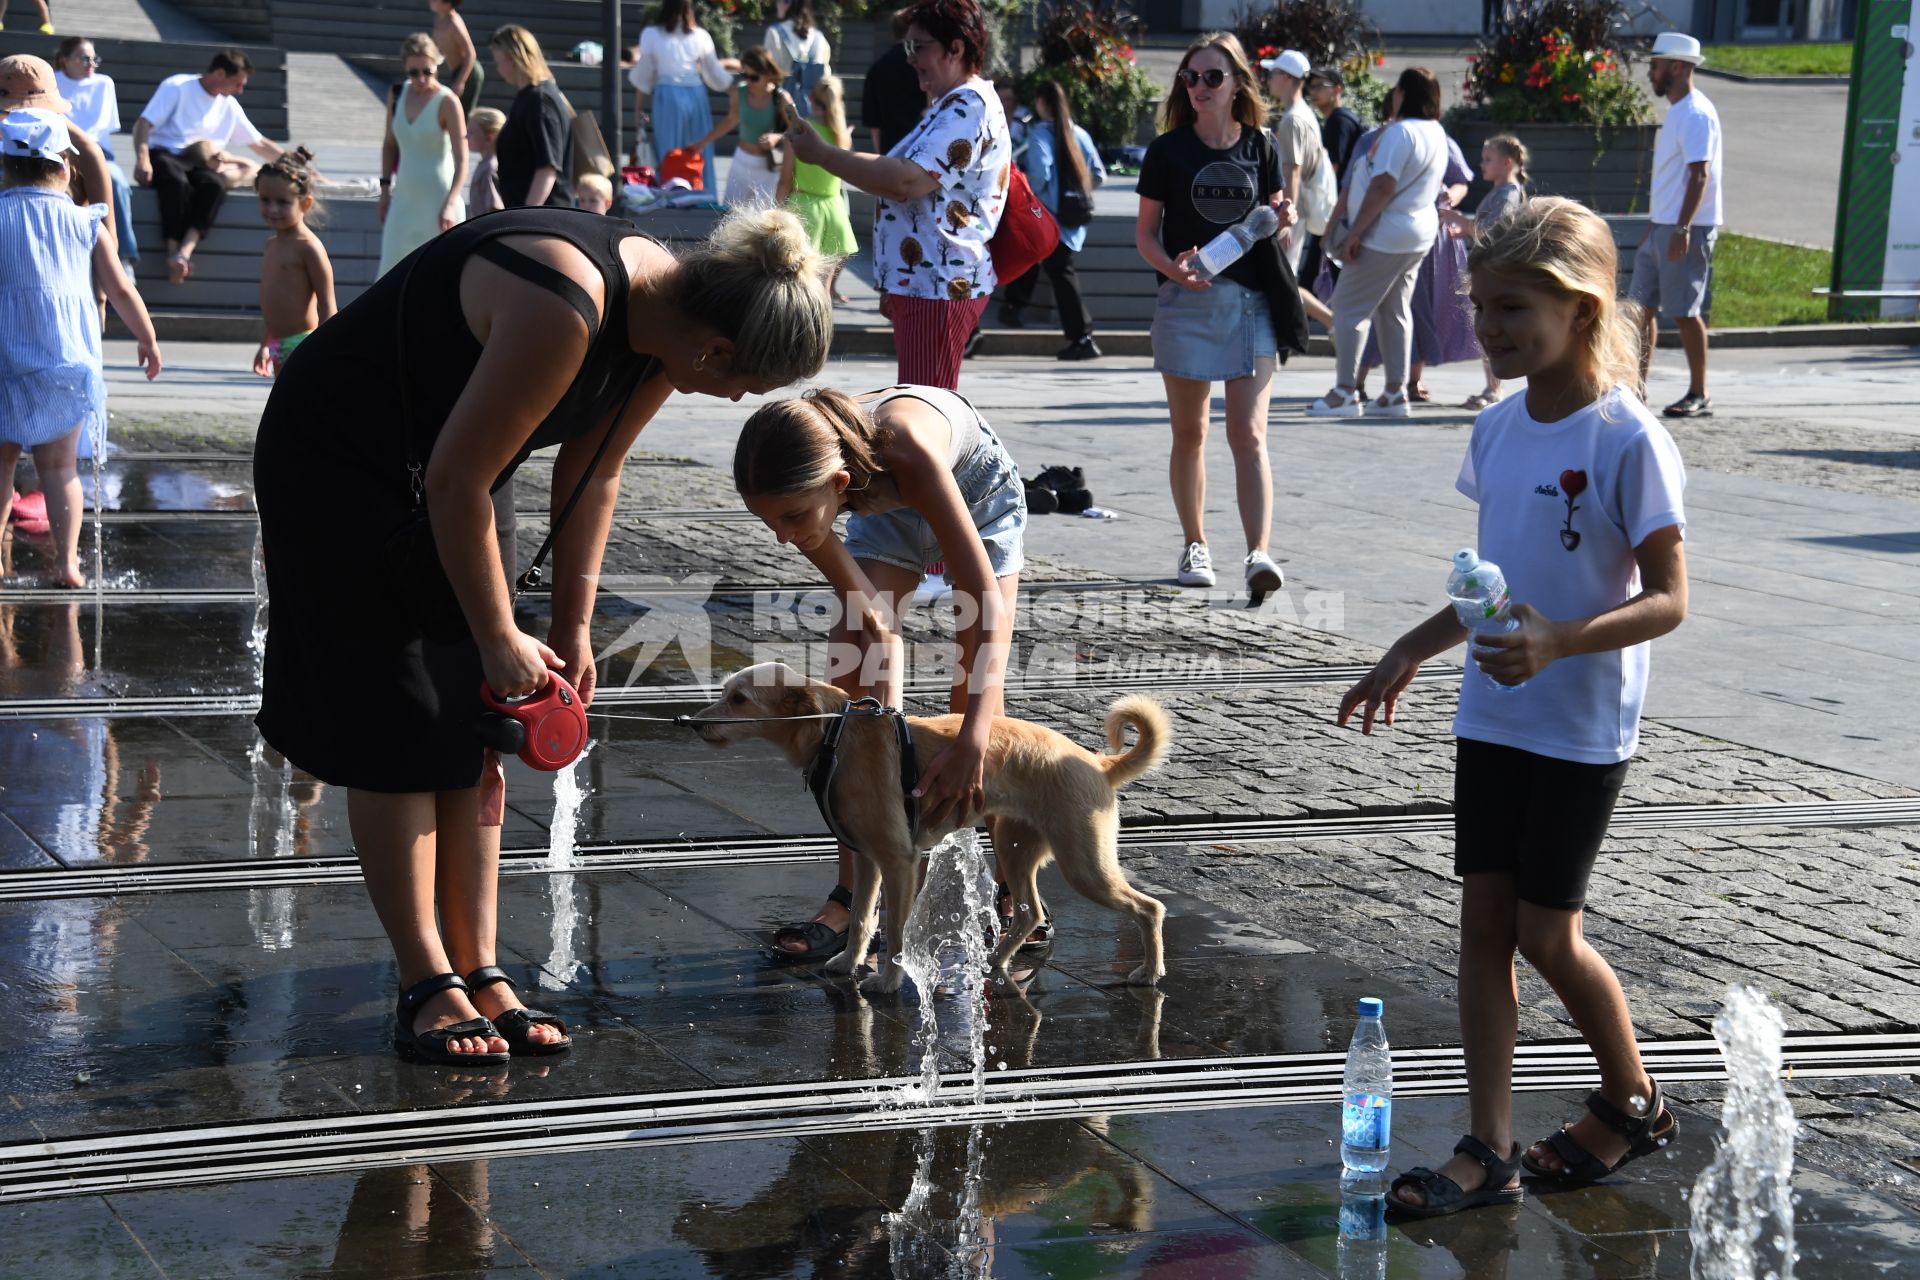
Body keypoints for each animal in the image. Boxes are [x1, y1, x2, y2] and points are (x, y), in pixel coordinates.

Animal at [695, 667, 1167, 997]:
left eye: (739, 699)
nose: (694, 722)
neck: (836, 734)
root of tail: (1100, 764)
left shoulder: (900, 862)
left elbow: (897, 932)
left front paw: (887, 982)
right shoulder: (866, 858)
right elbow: (862, 918)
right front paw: (848, 961)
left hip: (1084, 865)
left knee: (1150, 908)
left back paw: (1149, 972)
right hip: (1015, 847)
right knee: (1030, 912)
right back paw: (996, 959)